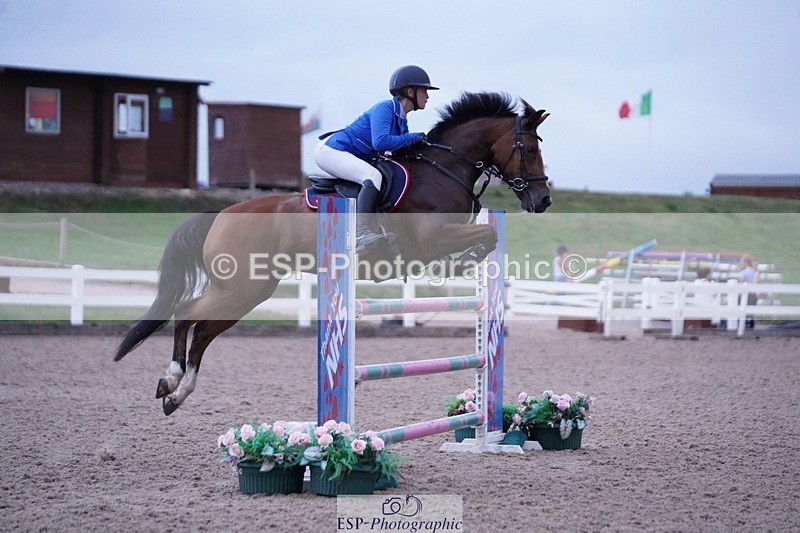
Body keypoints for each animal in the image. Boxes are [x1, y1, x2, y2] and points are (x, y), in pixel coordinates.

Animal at [113, 91, 551, 415]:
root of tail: (222, 213)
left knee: (202, 331)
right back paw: (170, 380)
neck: (443, 169)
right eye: (528, 148)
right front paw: (465, 259)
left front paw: (467, 262)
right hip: (238, 287)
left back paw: (176, 394)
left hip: (249, 292)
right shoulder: (432, 239)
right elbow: (484, 235)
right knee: (186, 313)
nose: (543, 200)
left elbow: (487, 238)